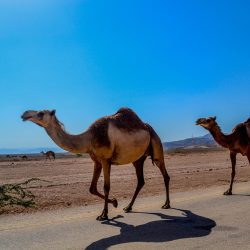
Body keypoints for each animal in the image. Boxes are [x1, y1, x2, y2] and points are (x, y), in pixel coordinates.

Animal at [21, 108, 171, 221]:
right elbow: (92, 188)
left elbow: (106, 187)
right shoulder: (97, 161)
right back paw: (128, 207)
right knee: (140, 181)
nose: (24, 114)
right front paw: (115, 203)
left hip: (156, 146)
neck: (89, 138)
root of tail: (148, 127)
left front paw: (104, 214)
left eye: (41, 113)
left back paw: (166, 204)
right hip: (138, 159)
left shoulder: (106, 160)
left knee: (165, 175)